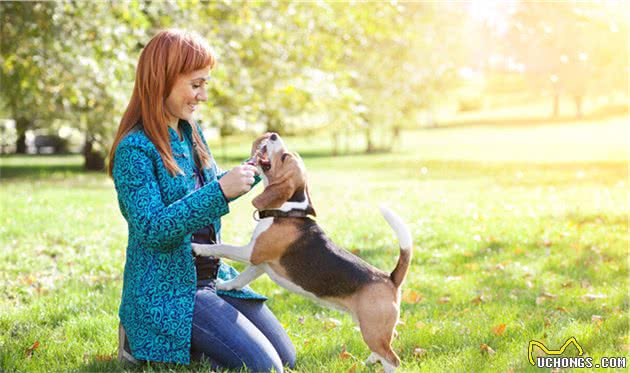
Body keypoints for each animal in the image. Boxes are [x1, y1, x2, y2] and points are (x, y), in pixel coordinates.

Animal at [196, 132, 414, 370]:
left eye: (284, 157)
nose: (273, 134)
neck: (286, 211)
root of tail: (390, 278)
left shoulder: (252, 253)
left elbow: (222, 247)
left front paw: (198, 247)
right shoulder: (260, 264)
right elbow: (241, 279)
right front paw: (224, 285)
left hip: (372, 329)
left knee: (392, 358)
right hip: (371, 326)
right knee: (386, 345)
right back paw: (369, 361)